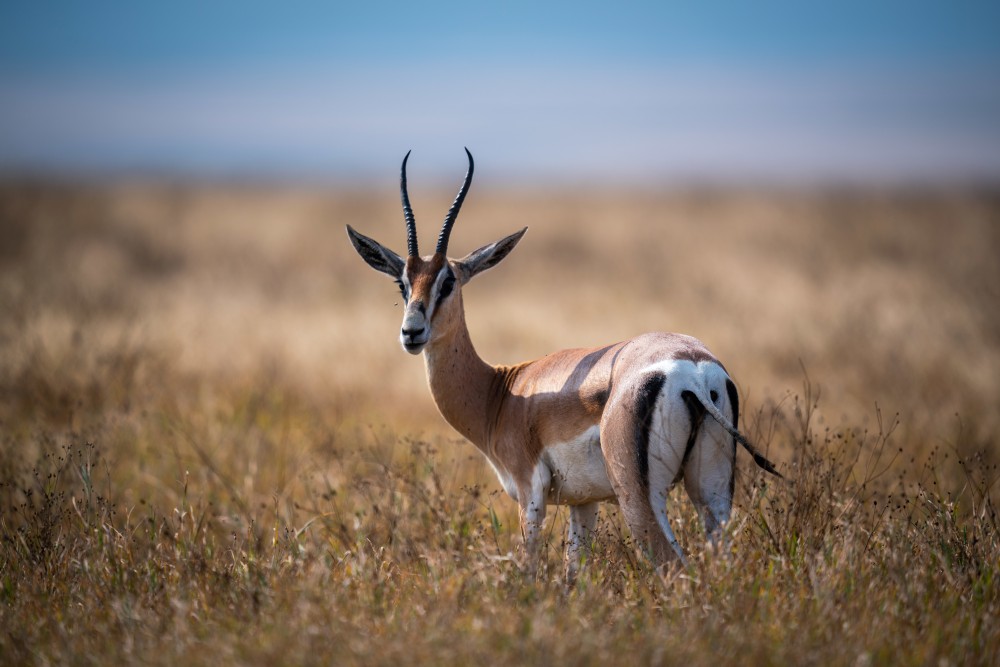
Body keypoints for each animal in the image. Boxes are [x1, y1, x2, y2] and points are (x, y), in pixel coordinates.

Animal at [346, 149, 781, 579]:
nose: (412, 332)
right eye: (403, 284)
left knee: (673, 566)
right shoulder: (583, 502)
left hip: (639, 497)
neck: (501, 393)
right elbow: (574, 576)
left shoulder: (530, 494)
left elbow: (529, 568)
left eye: (448, 282)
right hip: (712, 492)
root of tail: (693, 370)